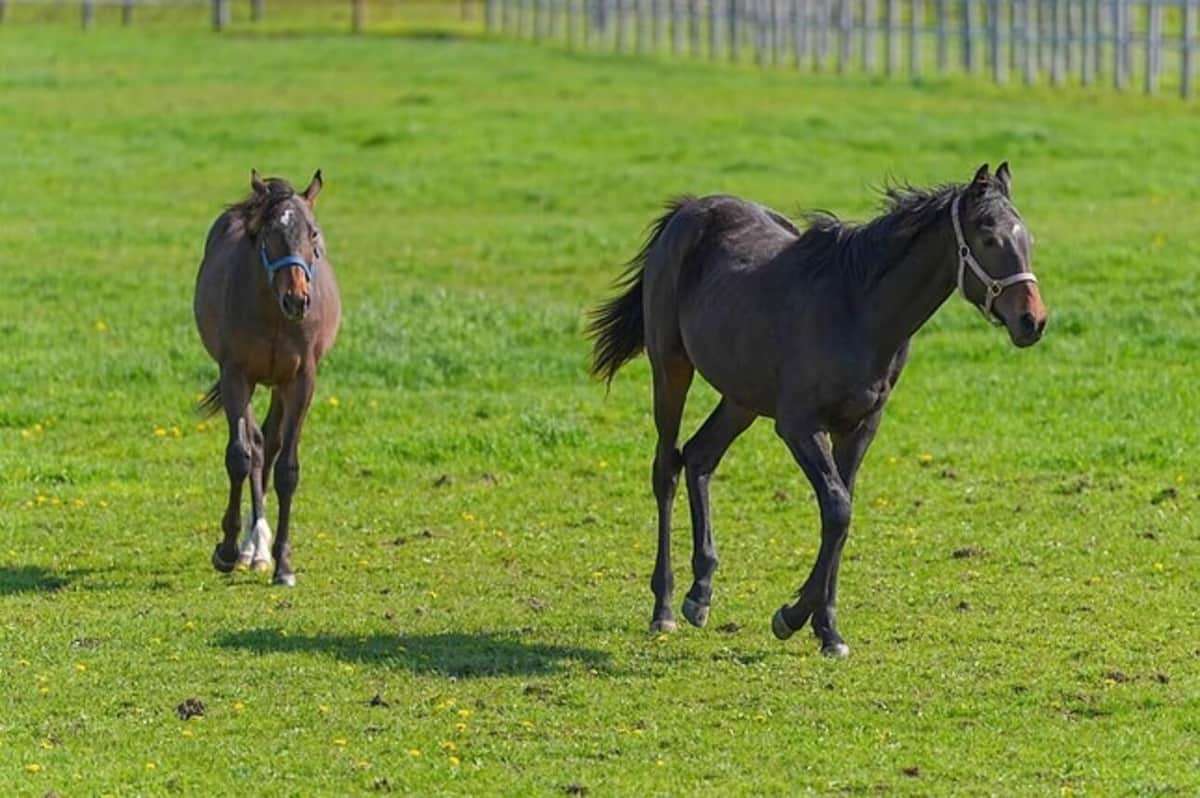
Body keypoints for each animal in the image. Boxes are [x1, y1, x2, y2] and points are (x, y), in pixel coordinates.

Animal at [194, 170, 341, 587]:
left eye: (313, 233)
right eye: (269, 234)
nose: (297, 299)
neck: (275, 315)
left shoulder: (301, 380)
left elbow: (287, 469)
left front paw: (284, 565)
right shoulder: (235, 374)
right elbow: (240, 456)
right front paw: (227, 550)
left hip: (278, 384)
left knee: (271, 444)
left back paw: (260, 550)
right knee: (258, 445)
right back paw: (250, 549)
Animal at [588, 163, 1047, 657]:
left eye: (1027, 238)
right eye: (989, 238)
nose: (1032, 321)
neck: (858, 312)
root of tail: (688, 210)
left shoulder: (861, 427)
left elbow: (841, 515)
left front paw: (827, 630)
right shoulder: (799, 426)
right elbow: (838, 508)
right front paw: (790, 617)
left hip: (742, 396)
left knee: (699, 457)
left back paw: (701, 593)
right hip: (671, 367)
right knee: (667, 468)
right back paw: (666, 607)